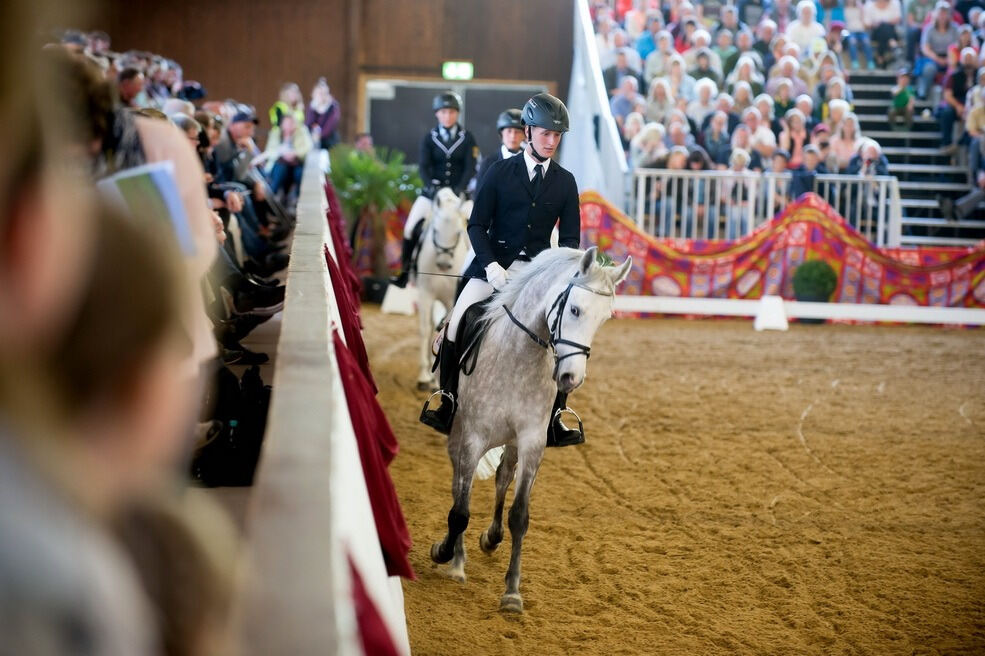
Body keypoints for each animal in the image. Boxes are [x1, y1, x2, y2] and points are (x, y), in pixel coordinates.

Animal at [414, 184, 470, 390]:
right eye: (435, 231)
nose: (444, 265)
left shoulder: (449, 298)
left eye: (458, 233)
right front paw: (423, 376)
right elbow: (424, 330)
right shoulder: (425, 294)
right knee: (431, 326)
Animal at [428, 246, 632, 616]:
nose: (571, 378)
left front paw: (512, 593)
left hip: (511, 442)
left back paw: (490, 538)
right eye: (575, 309)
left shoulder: (532, 443)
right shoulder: (474, 437)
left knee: (502, 477)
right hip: (460, 431)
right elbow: (461, 509)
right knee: (459, 486)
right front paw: (445, 553)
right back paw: (458, 558)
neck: (519, 357)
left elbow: (519, 515)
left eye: (603, 320)